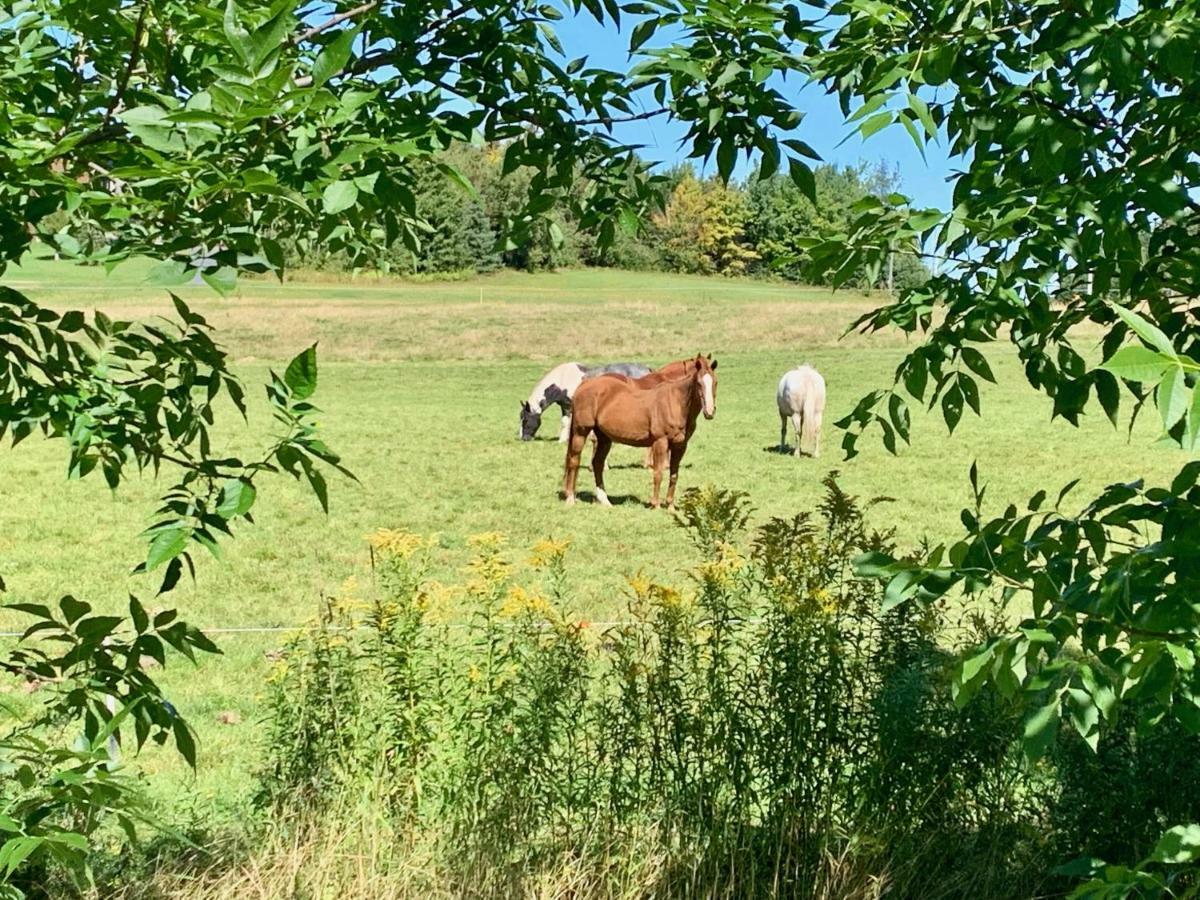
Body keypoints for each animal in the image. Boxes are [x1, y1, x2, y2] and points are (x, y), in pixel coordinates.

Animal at [516, 362, 648, 441]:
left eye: (526, 420)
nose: (523, 438)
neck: (562, 380)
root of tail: (647, 369)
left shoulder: (569, 406)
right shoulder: (564, 406)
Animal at [564, 352, 720, 508]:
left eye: (715, 382)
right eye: (698, 383)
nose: (709, 411)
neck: (675, 403)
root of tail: (585, 384)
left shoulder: (680, 446)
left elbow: (674, 475)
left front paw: (670, 506)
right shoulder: (660, 442)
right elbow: (658, 473)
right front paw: (655, 505)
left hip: (604, 438)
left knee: (598, 464)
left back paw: (604, 500)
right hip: (580, 432)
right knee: (574, 461)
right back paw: (570, 498)